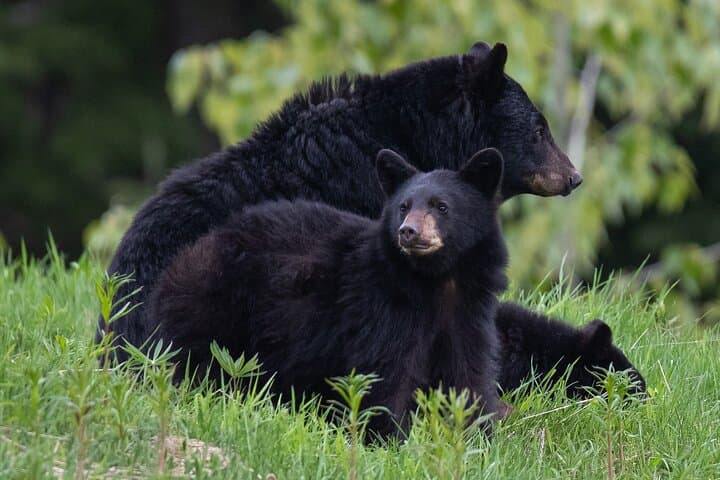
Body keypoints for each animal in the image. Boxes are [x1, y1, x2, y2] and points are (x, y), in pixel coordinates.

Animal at [148, 148, 509, 437]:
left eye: (441, 206)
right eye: (403, 207)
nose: (408, 232)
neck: (435, 281)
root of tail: (189, 253)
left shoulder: (469, 309)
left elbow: (468, 374)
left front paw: (479, 437)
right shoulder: (383, 304)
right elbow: (386, 372)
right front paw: (389, 439)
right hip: (214, 305)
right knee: (197, 359)